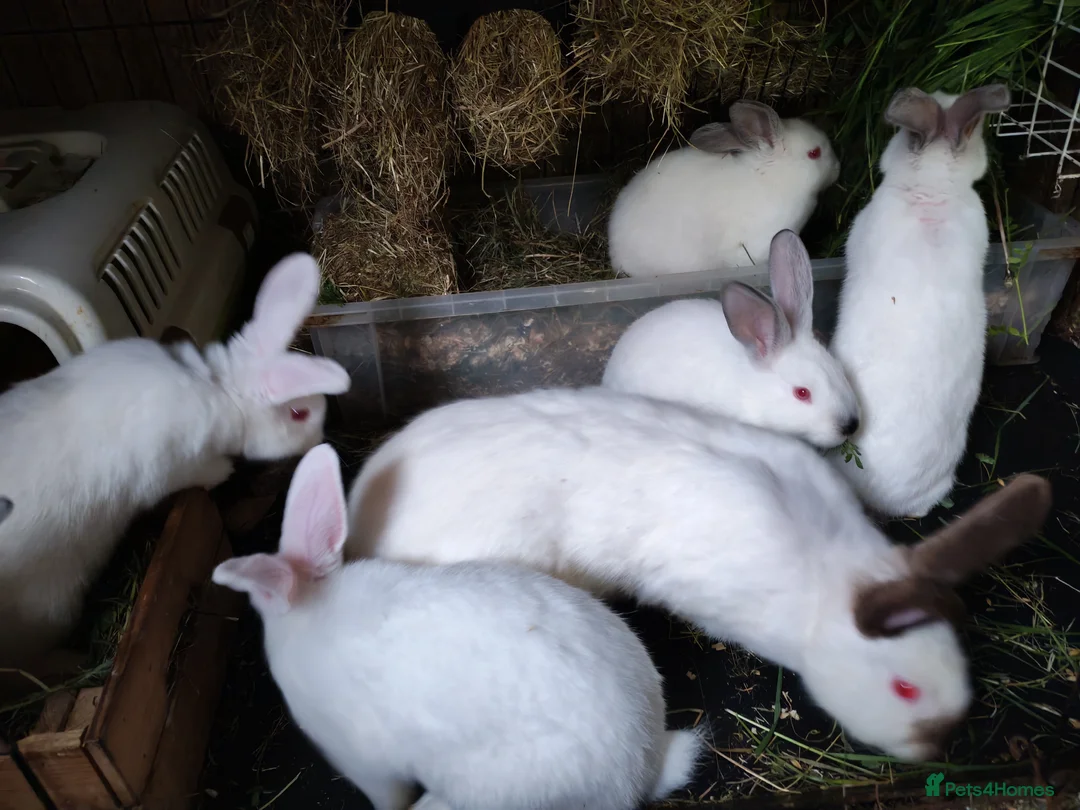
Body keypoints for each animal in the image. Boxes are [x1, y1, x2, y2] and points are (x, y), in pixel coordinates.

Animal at [0, 252, 351, 669]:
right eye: (299, 413)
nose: (319, 442)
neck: (220, 390)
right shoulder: (172, 467)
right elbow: (197, 474)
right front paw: (224, 471)